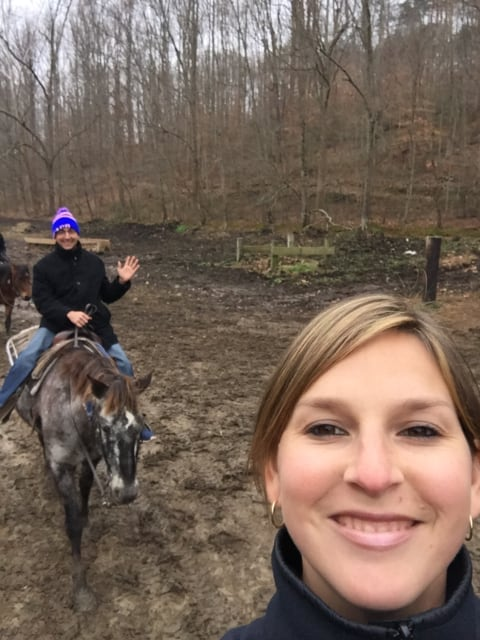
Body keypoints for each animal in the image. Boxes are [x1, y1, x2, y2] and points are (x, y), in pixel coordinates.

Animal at [15, 338, 150, 612]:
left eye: (140, 427)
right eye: (105, 426)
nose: (127, 493)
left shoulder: (93, 456)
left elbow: (86, 484)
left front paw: (87, 518)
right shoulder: (62, 466)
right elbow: (72, 523)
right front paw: (81, 590)